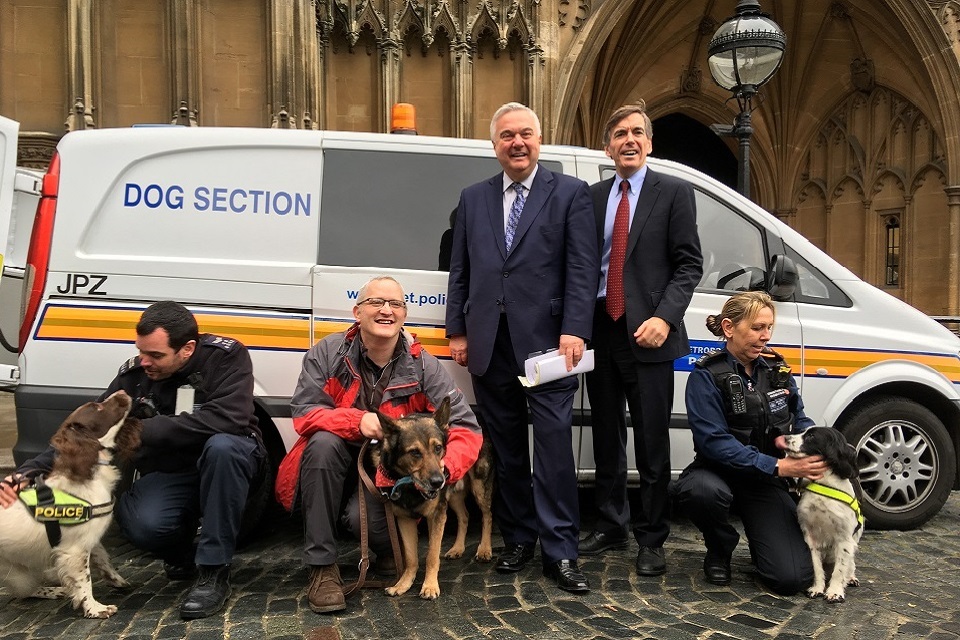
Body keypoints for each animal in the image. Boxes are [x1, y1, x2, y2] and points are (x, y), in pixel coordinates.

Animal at [374, 398, 496, 604]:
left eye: (438, 448)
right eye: (415, 452)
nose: (438, 482)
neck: (409, 485)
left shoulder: (436, 516)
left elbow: (431, 555)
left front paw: (430, 586)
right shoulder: (405, 520)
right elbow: (411, 558)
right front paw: (403, 584)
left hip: (479, 487)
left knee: (487, 515)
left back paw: (485, 549)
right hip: (453, 495)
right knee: (464, 516)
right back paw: (457, 548)